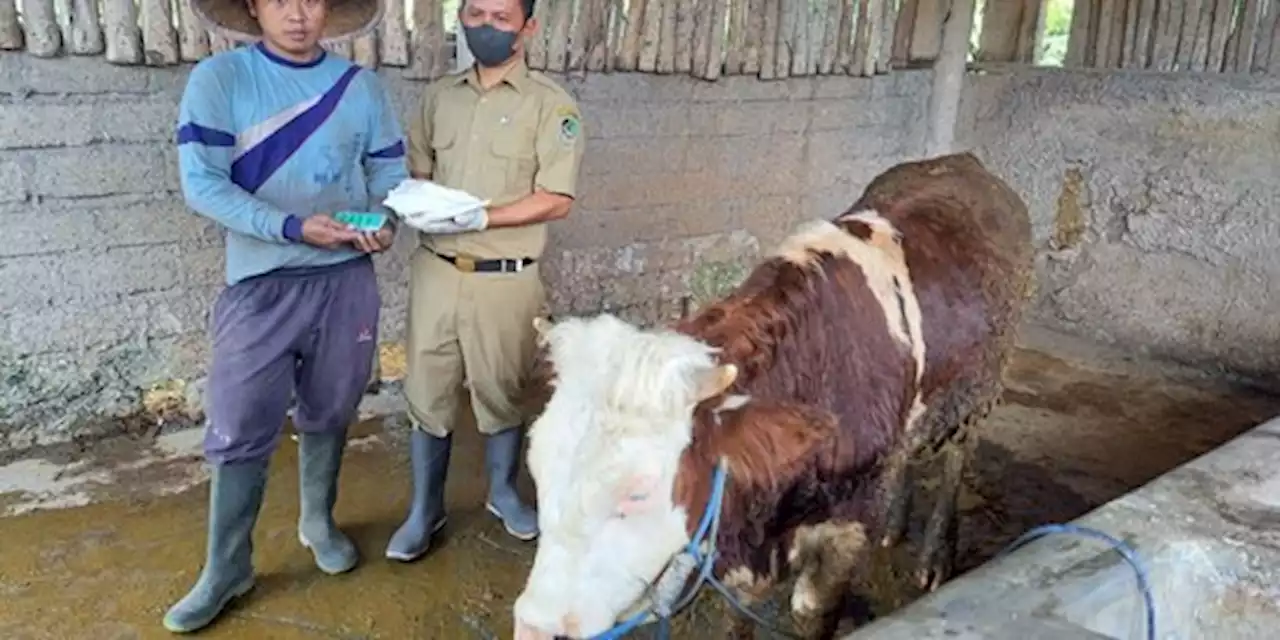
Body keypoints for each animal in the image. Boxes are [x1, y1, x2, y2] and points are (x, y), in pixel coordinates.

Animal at [506, 152, 1029, 637]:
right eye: (537, 469)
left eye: (638, 492)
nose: (534, 626)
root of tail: (962, 162)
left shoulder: (842, 536)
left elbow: (812, 612)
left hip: (982, 390)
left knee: (957, 458)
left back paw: (935, 556)